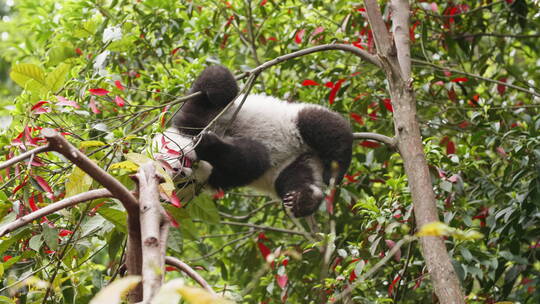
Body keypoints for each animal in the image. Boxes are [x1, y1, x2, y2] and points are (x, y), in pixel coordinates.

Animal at [154, 66, 352, 218]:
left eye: (167, 164)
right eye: (182, 185)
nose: (181, 171)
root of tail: (313, 158)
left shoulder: (193, 120)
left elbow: (216, 84)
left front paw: (207, 142)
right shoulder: (215, 178)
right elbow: (253, 160)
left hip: (292, 122)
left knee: (324, 127)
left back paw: (335, 170)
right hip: (288, 168)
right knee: (291, 178)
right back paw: (302, 200)